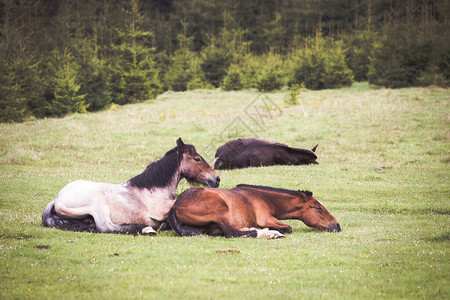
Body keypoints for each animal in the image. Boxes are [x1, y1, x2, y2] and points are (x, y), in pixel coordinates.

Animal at [41, 138, 221, 234]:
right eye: (197, 159)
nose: (216, 179)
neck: (154, 189)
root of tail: (56, 199)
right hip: (99, 203)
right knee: (106, 226)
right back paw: (146, 229)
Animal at [169, 183, 342, 239]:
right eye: (318, 207)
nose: (337, 225)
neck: (263, 197)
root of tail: (175, 206)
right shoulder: (267, 219)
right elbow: (288, 227)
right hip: (221, 208)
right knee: (232, 232)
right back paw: (270, 233)